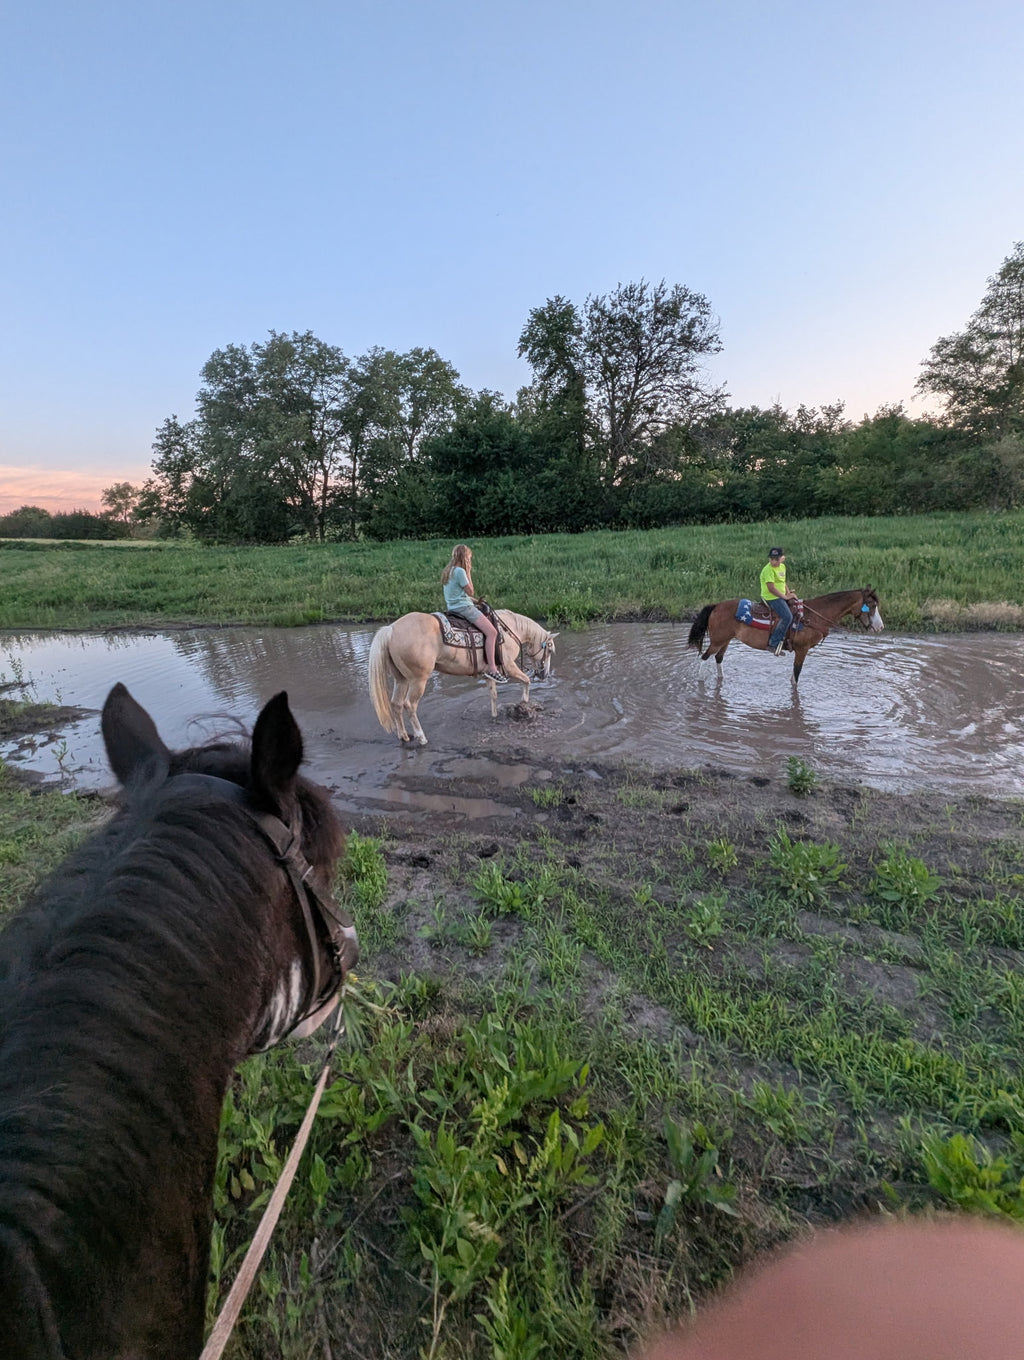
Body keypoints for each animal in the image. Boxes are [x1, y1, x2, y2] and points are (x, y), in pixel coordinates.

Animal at [368, 608, 558, 745]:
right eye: (549, 649)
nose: (544, 674)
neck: (508, 629)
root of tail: (391, 629)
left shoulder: (489, 673)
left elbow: (493, 695)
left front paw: (495, 716)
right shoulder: (510, 667)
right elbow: (526, 680)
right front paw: (525, 702)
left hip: (401, 679)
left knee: (396, 704)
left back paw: (404, 736)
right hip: (418, 680)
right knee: (410, 705)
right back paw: (421, 737)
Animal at [687, 586, 884, 683]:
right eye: (872, 605)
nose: (880, 627)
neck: (812, 615)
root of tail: (716, 606)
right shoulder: (802, 650)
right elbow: (796, 676)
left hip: (726, 640)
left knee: (718, 658)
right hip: (718, 641)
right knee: (704, 657)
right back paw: (700, 681)